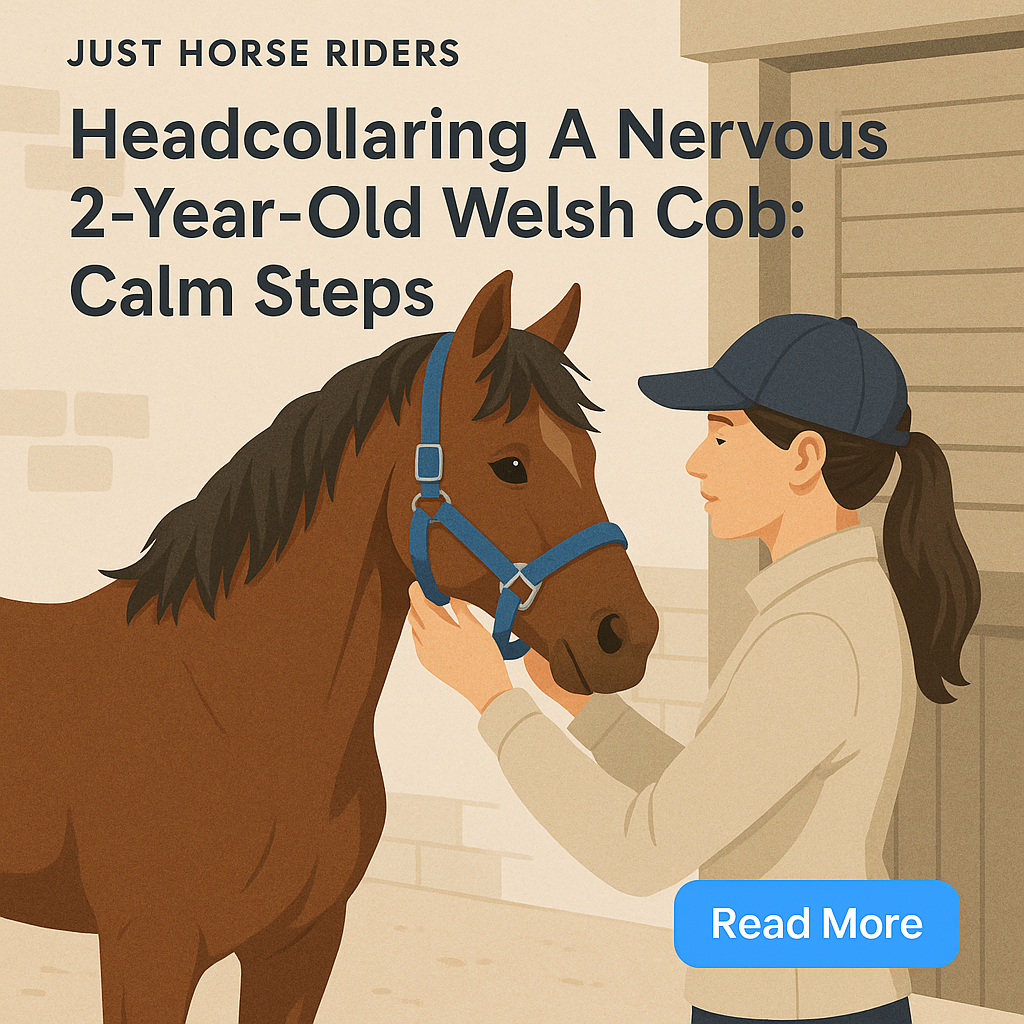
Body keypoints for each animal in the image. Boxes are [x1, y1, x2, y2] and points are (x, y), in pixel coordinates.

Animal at [0, 270, 659, 1024]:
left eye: (588, 456)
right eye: (511, 464)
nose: (626, 633)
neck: (240, 716)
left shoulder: (301, 946)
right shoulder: (150, 950)